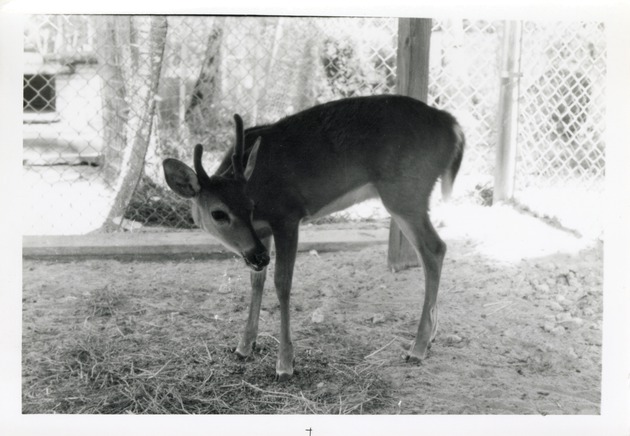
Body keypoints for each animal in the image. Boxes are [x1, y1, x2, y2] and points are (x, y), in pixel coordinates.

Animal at [165, 94, 466, 378]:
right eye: (219, 213)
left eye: (248, 206)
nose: (259, 256)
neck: (259, 184)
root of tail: (452, 126)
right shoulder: (261, 232)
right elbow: (256, 282)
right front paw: (243, 347)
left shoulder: (287, 215)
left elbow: (282, 283)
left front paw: (285, 364)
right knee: (434, 251)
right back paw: (430, 336)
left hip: (405, 191)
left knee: (434, 248)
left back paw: (417, 348)